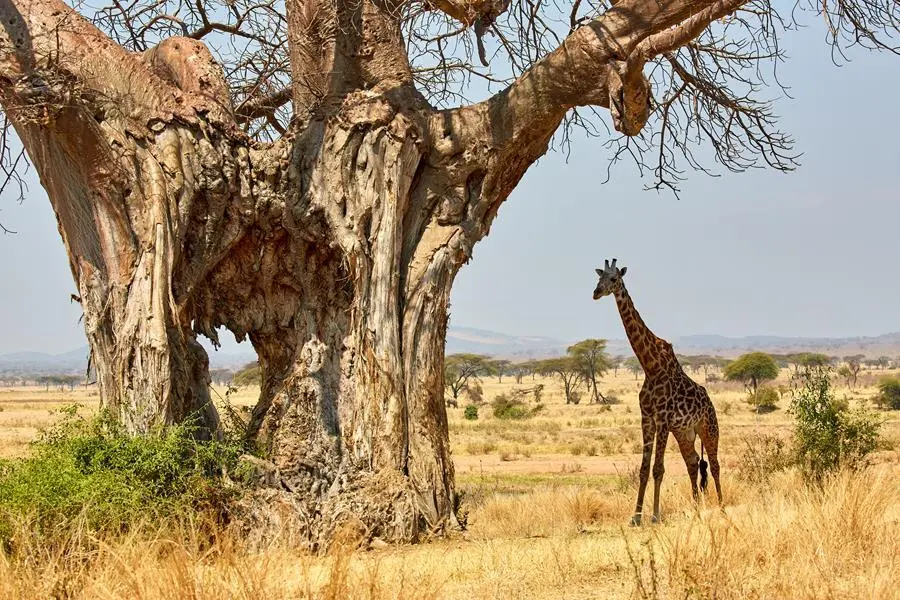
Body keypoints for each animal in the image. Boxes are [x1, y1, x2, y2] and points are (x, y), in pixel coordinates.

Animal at [592, 259, 722, 525]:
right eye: (598, 278)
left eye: (613, 279)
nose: (596, 293)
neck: (650, 366)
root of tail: (709, 401)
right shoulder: (647, 418)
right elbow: (644, 469)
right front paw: (635, 517)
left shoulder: (662, 419)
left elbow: (658, 469)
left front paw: (654, 516)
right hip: (684, 433)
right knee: (693, 462)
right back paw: (695, 507)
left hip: (708, 428)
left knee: (714, 465)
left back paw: (722, 505)